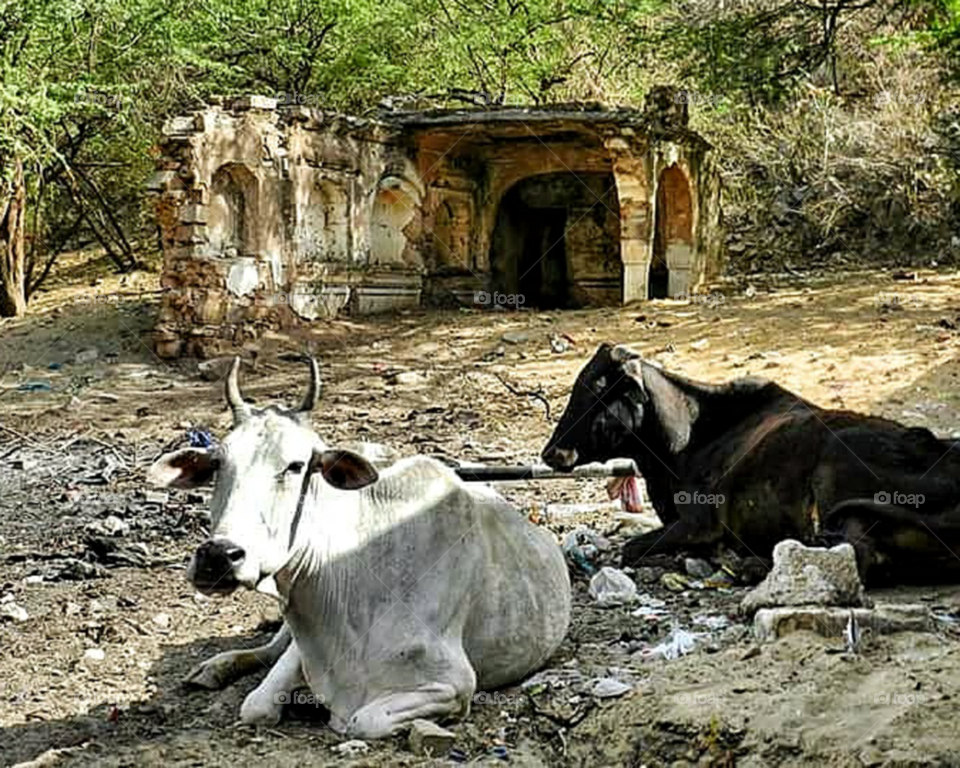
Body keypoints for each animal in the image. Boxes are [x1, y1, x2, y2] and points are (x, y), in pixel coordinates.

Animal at [149, 358, 571, 737]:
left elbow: (361, 721)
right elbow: (257, 706)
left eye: (297, 465)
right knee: (270, 649)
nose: (218, 555)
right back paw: (215, 667)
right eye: (218, 463)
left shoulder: (454, 684)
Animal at [541, 343, 960, 585]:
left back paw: (751, 566)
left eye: (598, 390)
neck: (691, 436)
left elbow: (631, 548)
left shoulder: (700, 523)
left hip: (834, 481)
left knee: (857, 554)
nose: (551, 453)